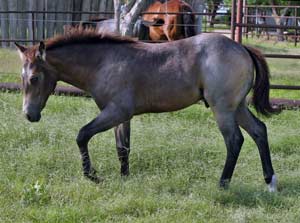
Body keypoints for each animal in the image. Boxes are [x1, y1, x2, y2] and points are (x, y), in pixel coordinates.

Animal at [15, 27, 278, 192]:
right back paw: (270, 182)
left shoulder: (116, 112)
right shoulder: (121, 116)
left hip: (222, 109)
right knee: (259, 131)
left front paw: (92, 175)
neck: (104, 63)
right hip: (238, 107)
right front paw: (124, 178)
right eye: (22, 77)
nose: (29, 115)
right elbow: (123, 148)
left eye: (35, 78)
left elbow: (82, 135)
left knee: (235, 141)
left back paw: (222, 184)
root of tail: (242, 48)